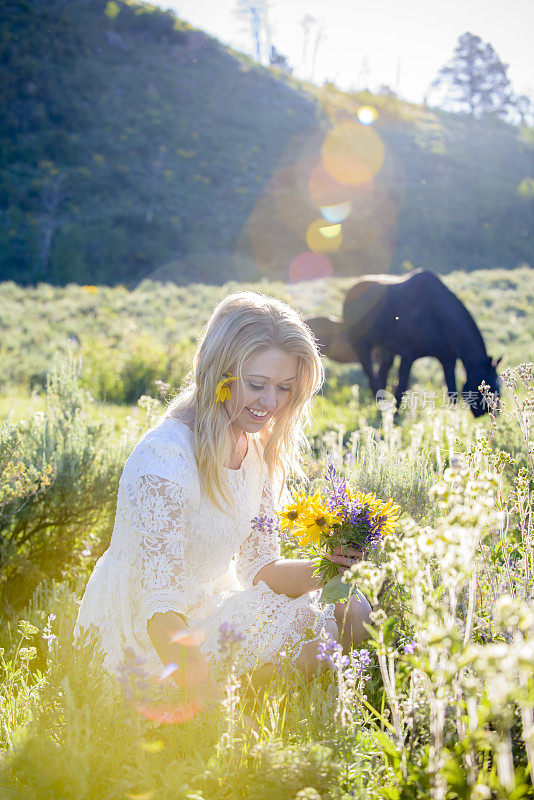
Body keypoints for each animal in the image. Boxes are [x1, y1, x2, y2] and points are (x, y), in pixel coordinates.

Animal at [308, 270, 504, 418]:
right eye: (488, 388)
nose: (491, 414)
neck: (436, 313)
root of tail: (350, 292)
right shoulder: (407, 355)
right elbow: (401, 388)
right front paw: (395, 419)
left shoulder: (447, 358)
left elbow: (452, 392)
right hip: (362, 345)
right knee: (372, 377)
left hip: (385, 350)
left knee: (381, 375)